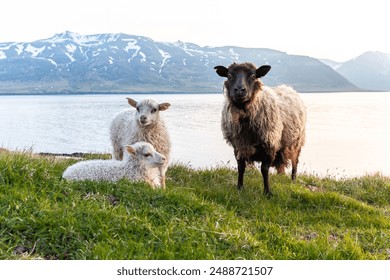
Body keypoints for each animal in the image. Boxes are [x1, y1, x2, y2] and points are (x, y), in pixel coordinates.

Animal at [213, 62, 308, 196]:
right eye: (229, 75)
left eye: (253, 76)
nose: (239, 90)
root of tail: (288, 88)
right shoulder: (238, 146)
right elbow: (241, 168)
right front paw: (239, 187)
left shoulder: (270, 144)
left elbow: (264, 169)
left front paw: (267, 192)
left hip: (296, 143)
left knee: (295, 162)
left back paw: (293, 181)